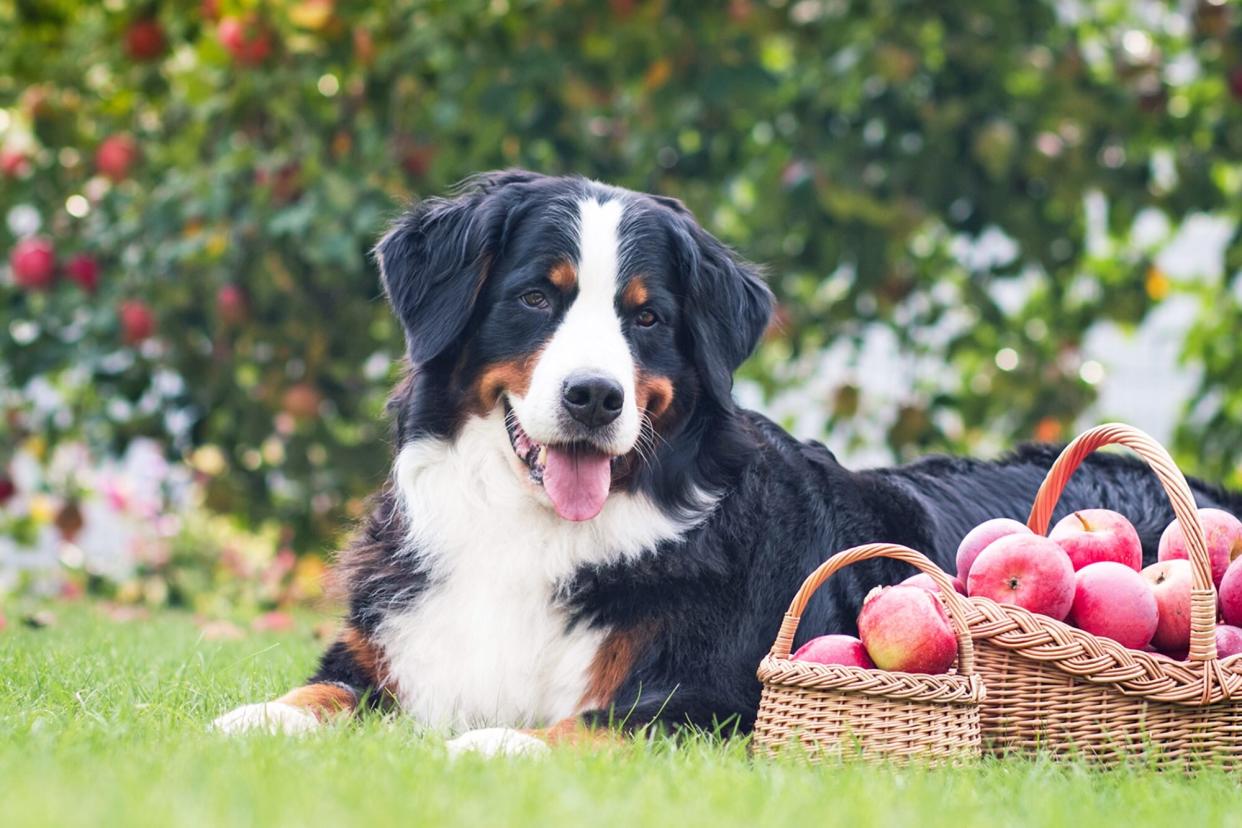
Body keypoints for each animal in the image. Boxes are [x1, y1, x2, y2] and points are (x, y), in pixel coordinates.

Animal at [213, 170, 1242, 759]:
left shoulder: (709, 699)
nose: (595, 397)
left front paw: (494, 742)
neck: (531, 535)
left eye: (647, 316)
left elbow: (581, 723)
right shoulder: (387, 655)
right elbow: (321, 688)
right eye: (537, 298)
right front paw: (248, 721)